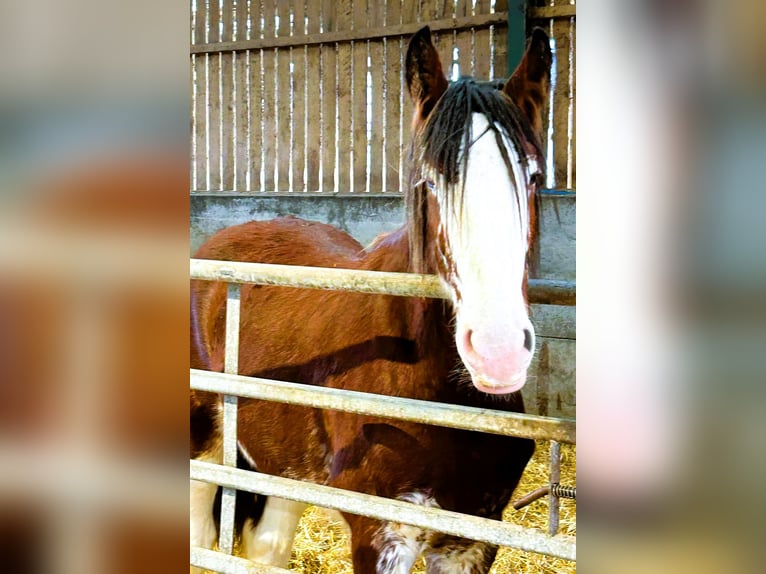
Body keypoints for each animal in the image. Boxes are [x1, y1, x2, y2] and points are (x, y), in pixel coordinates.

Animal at [192, 25, 552, 574]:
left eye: (533, 178)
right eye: (430, 182)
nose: (499, 352)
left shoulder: (473, 537)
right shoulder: (381, 536)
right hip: (203, 444)